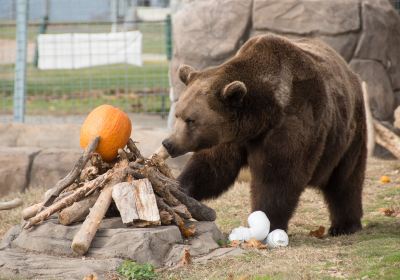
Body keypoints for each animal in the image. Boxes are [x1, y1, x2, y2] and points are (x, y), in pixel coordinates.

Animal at [162, 34, 366, 235]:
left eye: (191, 120)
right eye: (178, 114)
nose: (168, 143)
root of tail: (349, 70)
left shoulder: (291, 123)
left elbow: (277, 178)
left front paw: (267, 223)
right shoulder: (231, 136)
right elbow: (212, 167)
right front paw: (180, 189)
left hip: (348, 132)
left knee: (346, 180)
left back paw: (345, 225)